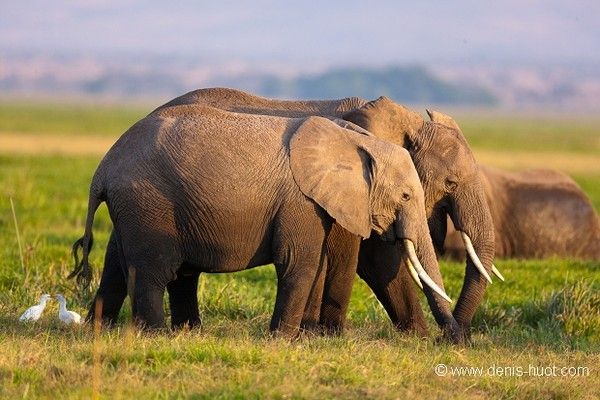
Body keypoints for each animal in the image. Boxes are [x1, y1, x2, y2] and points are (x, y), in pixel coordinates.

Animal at [82, 88, 496, 340]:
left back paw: (102, 329)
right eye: (451, 183)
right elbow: (362, 258)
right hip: (152, 202)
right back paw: (155, 334)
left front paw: (415, 338)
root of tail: (103, 168)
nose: (454, 340)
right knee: (158, 268)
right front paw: (324, 336)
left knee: (132, 263)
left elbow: (376, 261)